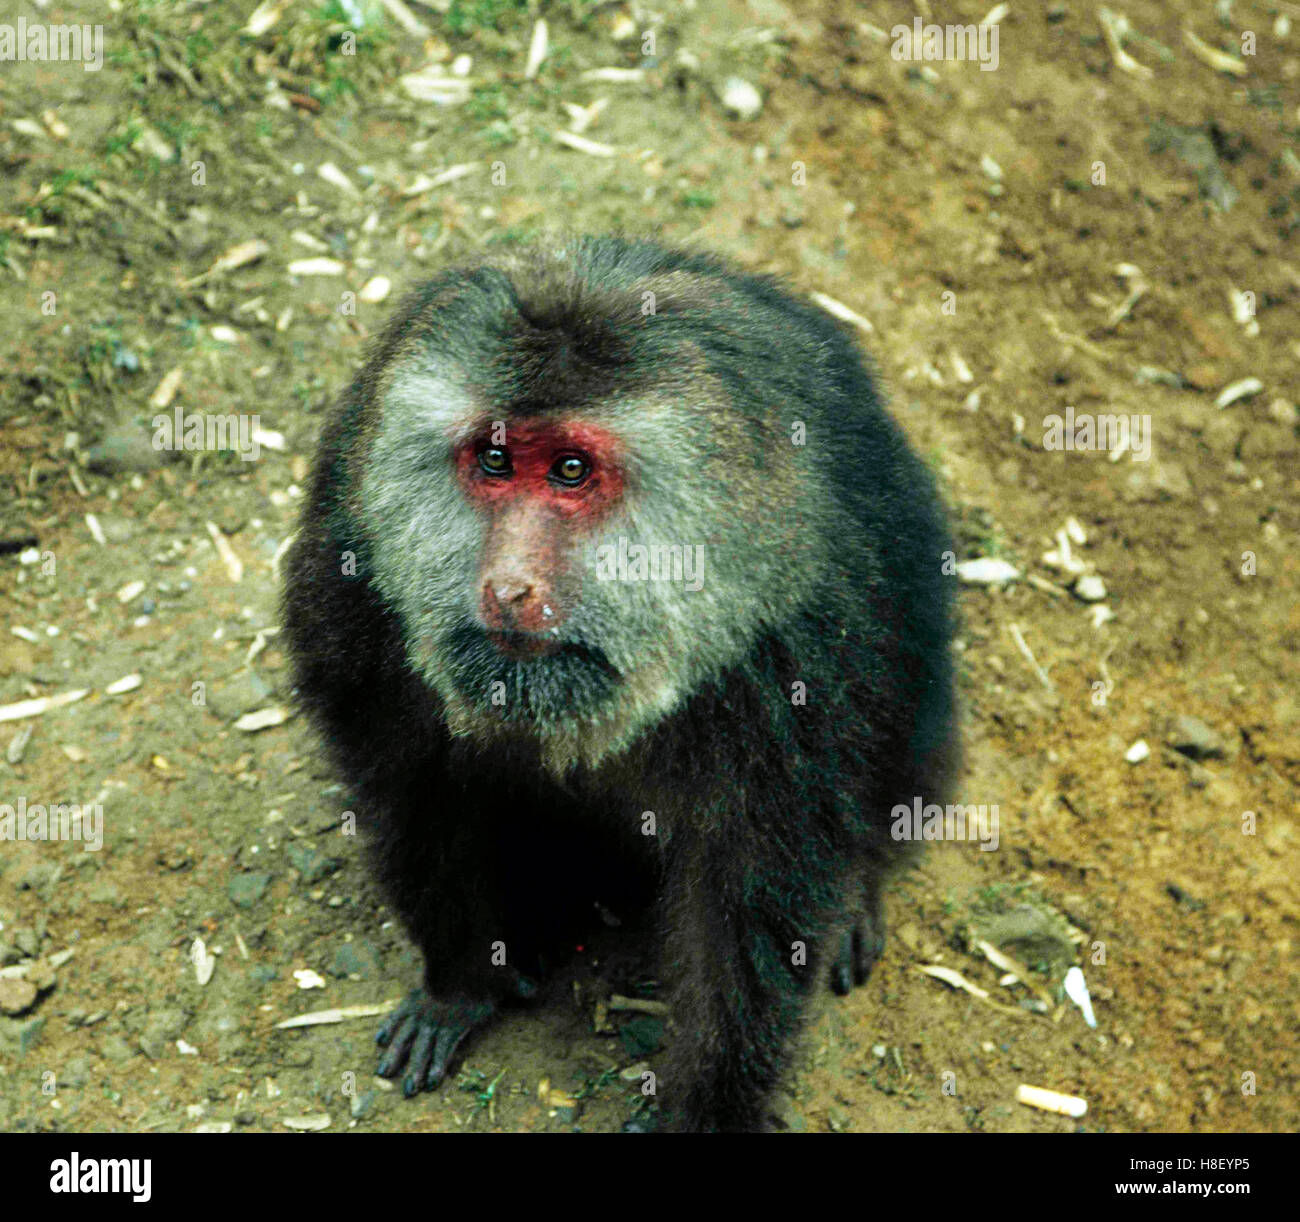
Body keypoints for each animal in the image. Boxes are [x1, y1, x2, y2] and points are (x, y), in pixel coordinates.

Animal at [280, 235, 958, 1132]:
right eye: (494, 459)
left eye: (571, 470)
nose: (509, 587)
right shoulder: (351, 576)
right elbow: (411, 787)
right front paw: (463, 983)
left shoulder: (792, 661)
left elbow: (748, 898)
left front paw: (705, 1110)